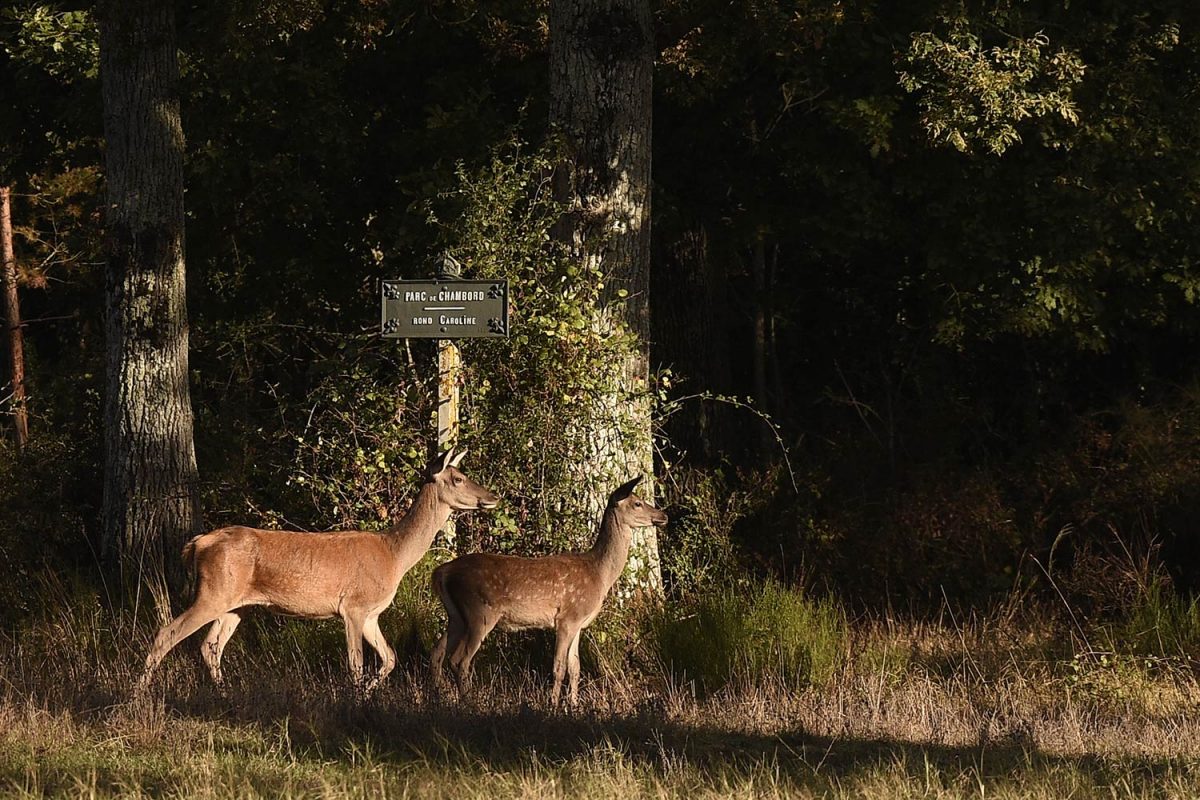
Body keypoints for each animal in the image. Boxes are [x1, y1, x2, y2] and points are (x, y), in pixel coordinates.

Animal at [139, 448, 496, 690]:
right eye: (458, 478)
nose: (492, 496)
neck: (394, 555)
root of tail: (197, 544)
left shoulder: (372, 614)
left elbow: (390, 658)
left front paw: (370, 692)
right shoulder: (353, 606)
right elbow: (356, 663)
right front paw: (358, 698)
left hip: (234, 605)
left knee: (210, 646)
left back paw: (222, 691)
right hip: (213, 592)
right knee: (167, 633)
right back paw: (140, 692)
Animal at [434, 479, 667, 705]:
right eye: (637, 503)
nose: (663, 516)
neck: (600, 574)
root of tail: (442, 572)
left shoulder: (578, 623)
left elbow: (575, 668)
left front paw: (574, 706)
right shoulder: (567, 618)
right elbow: (559, 668)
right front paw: (553, 705)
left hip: (456, 616)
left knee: (438, 653)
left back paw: (436, 696)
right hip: (480, 612)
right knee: (459, 660)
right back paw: (468, 702)